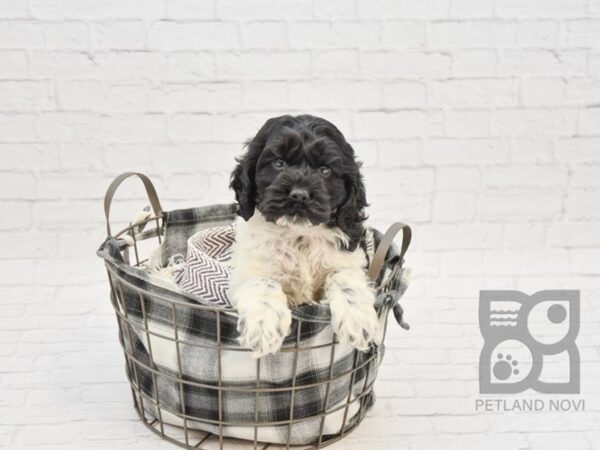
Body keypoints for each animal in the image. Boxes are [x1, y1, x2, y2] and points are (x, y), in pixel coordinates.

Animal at [227, 115, 378, 358]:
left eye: (325, 170)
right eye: (279, 163)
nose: (299, 195)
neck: (299, 235)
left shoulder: (349, 257)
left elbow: (344, 276)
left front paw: (357, 319)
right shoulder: (247, 269)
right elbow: (263, 281)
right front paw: (263, 325)